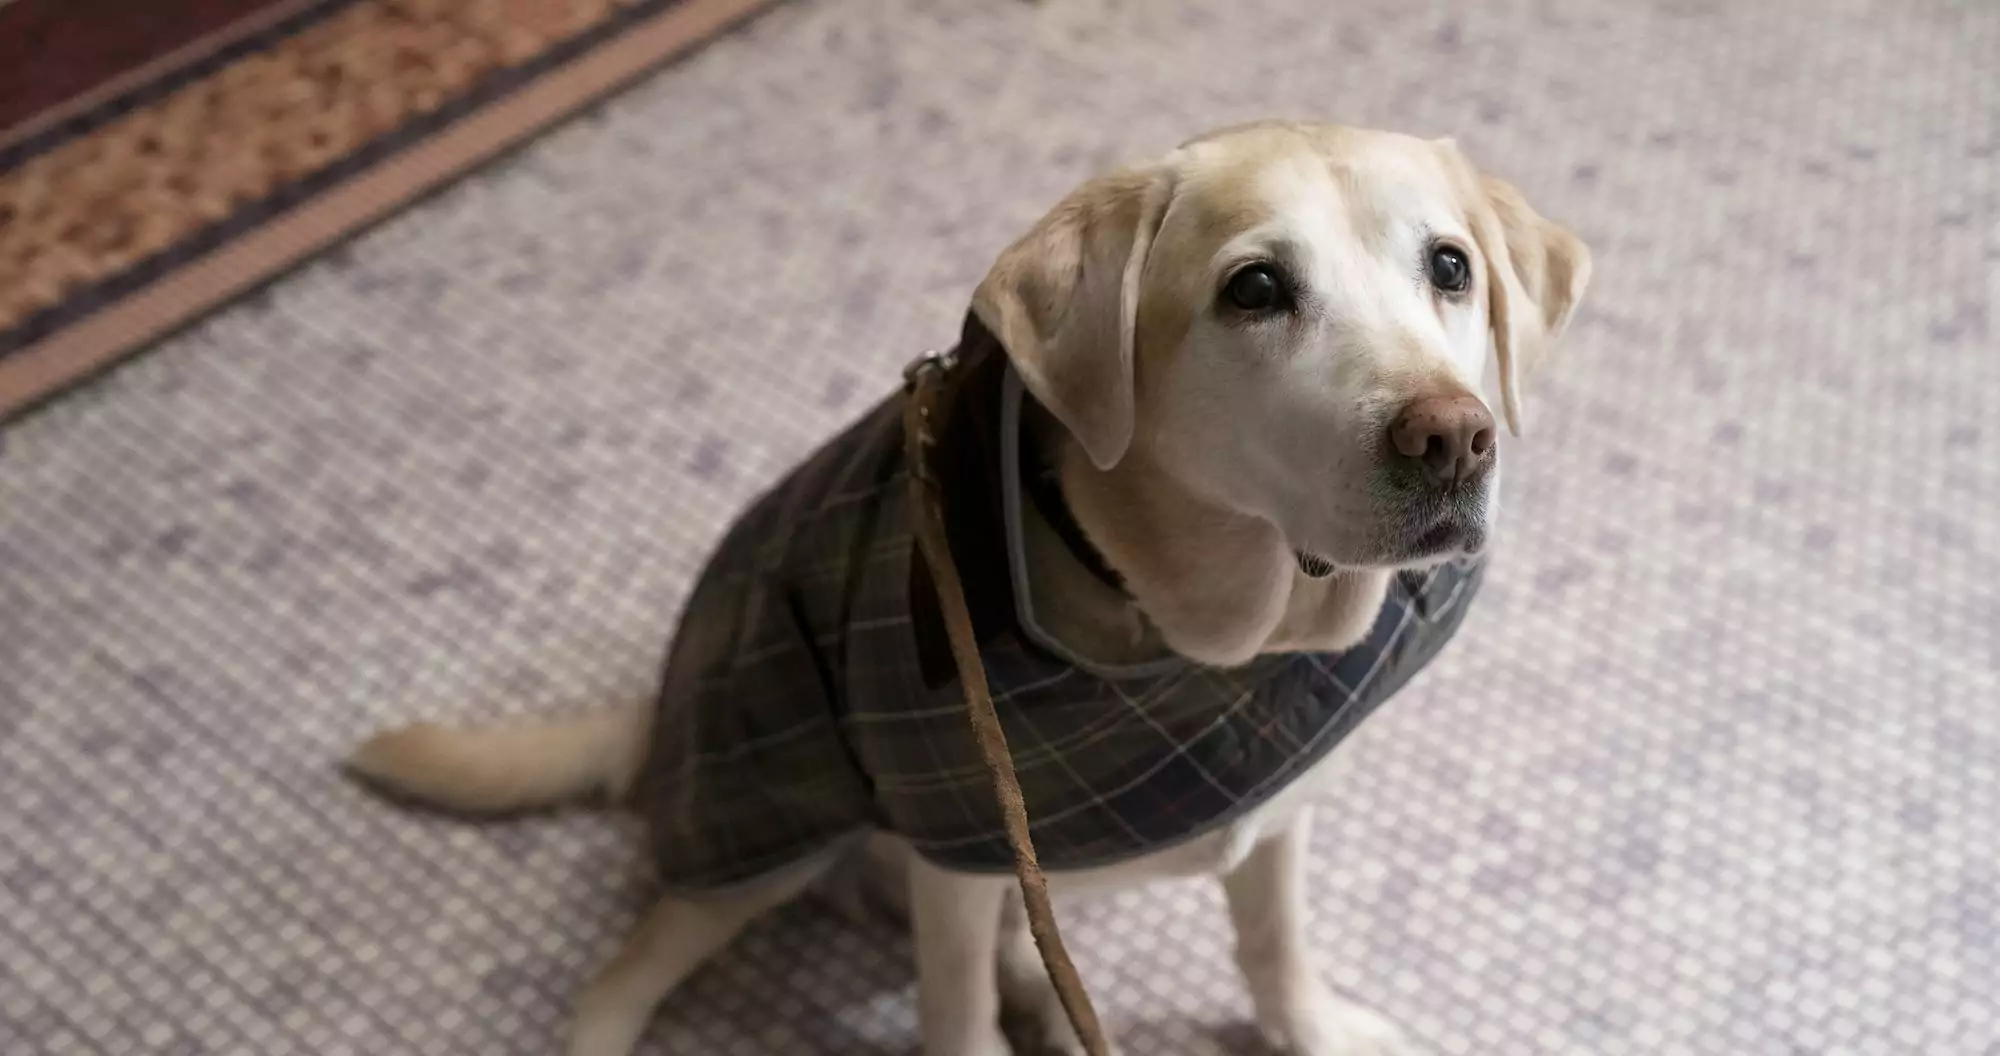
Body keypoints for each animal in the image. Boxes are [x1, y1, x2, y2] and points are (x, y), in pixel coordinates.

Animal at [348, 120, 1590, 1056]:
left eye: (1448, 266)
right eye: (1254, 288)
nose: (1452, 440)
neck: (1211, 644)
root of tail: (658, 711)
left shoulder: (1278, 811)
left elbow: (1272, 947)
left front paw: (1312, 1028)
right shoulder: (954, 863)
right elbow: (952, 1019)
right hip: (749, 844)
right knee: (622, 978)